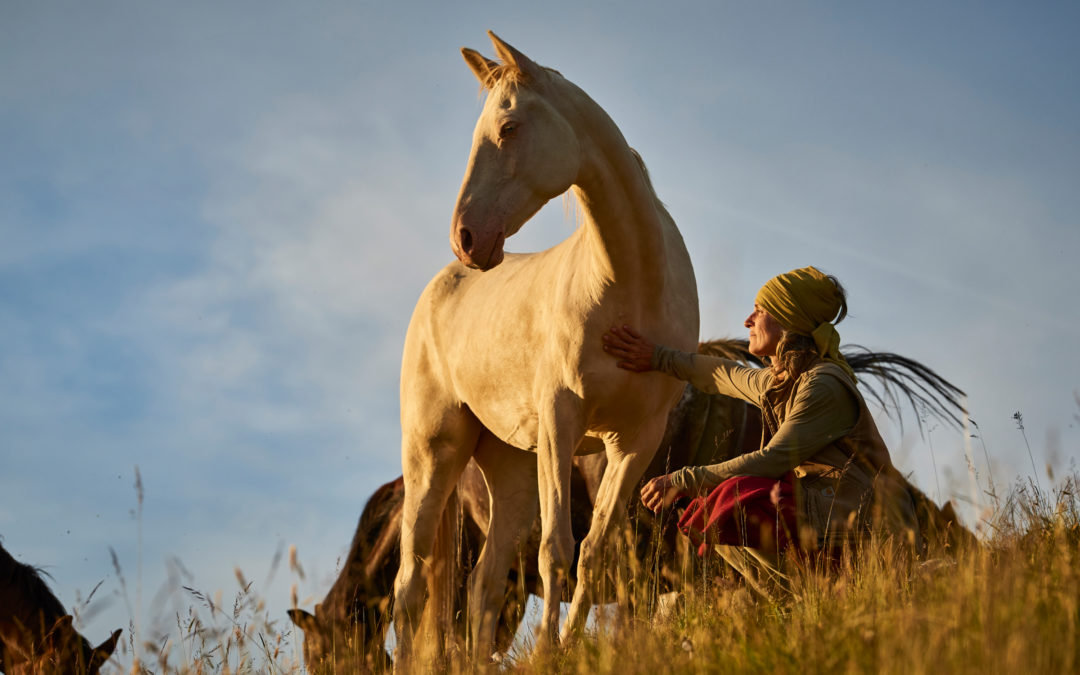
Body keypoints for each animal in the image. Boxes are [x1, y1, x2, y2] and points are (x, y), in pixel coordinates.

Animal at [393, 32, 695, 665]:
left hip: (509, 470)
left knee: (483, 586)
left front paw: (567, 647)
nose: (466, 238)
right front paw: (552, 653)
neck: (633, 286)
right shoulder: (562, 421)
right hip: (433, 455)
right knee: (410, 587)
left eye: (508, 129)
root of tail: (442, 284)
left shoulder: (635, 440)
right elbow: (557, 550)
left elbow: (594, 552)